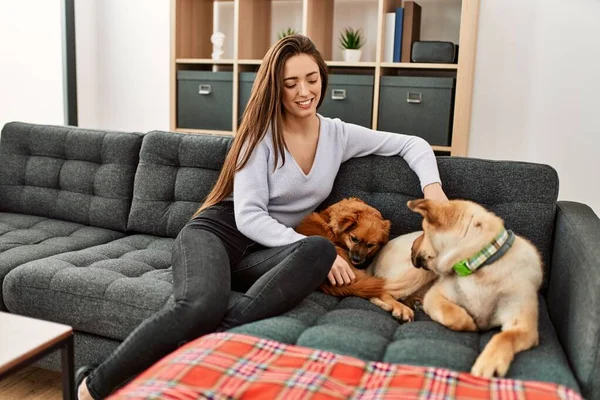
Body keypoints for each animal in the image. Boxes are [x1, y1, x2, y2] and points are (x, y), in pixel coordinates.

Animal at [408, 200, 544, 378]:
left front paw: (490, 362)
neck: (481, 264)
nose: (410, 248)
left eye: (424, 231)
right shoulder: (435, 295)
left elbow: (505, 337)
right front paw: (470, 323)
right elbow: (452, 314)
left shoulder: (523, 325)